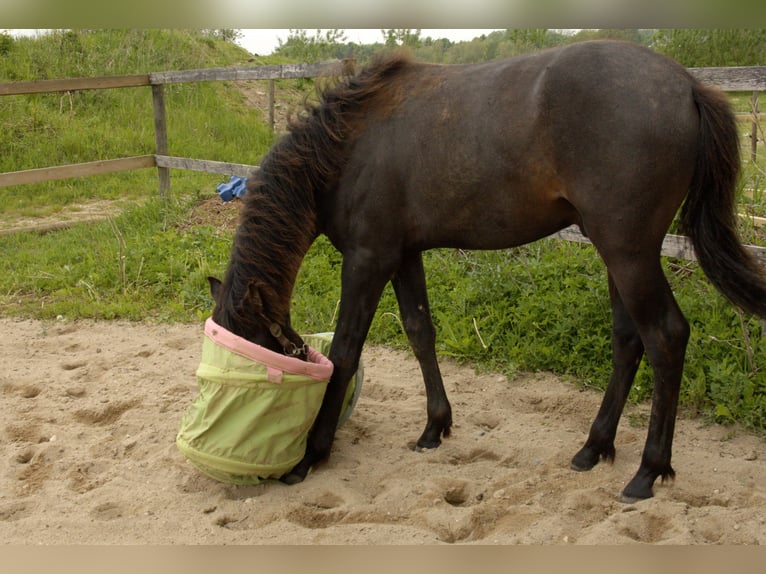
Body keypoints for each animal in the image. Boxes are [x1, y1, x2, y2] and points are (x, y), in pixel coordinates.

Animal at [208, 40, 766, 502]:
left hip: (629, 254)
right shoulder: (403, 255)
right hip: (618, 253)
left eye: (259, 350)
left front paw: (311, 455)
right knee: (629, 340)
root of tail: (688, 84)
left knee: (665, 336)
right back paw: (594, 447)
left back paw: (649, 471)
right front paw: (435, 428)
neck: (347, 144)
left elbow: (346, 350)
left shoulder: (367, 259)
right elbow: (420, 332)